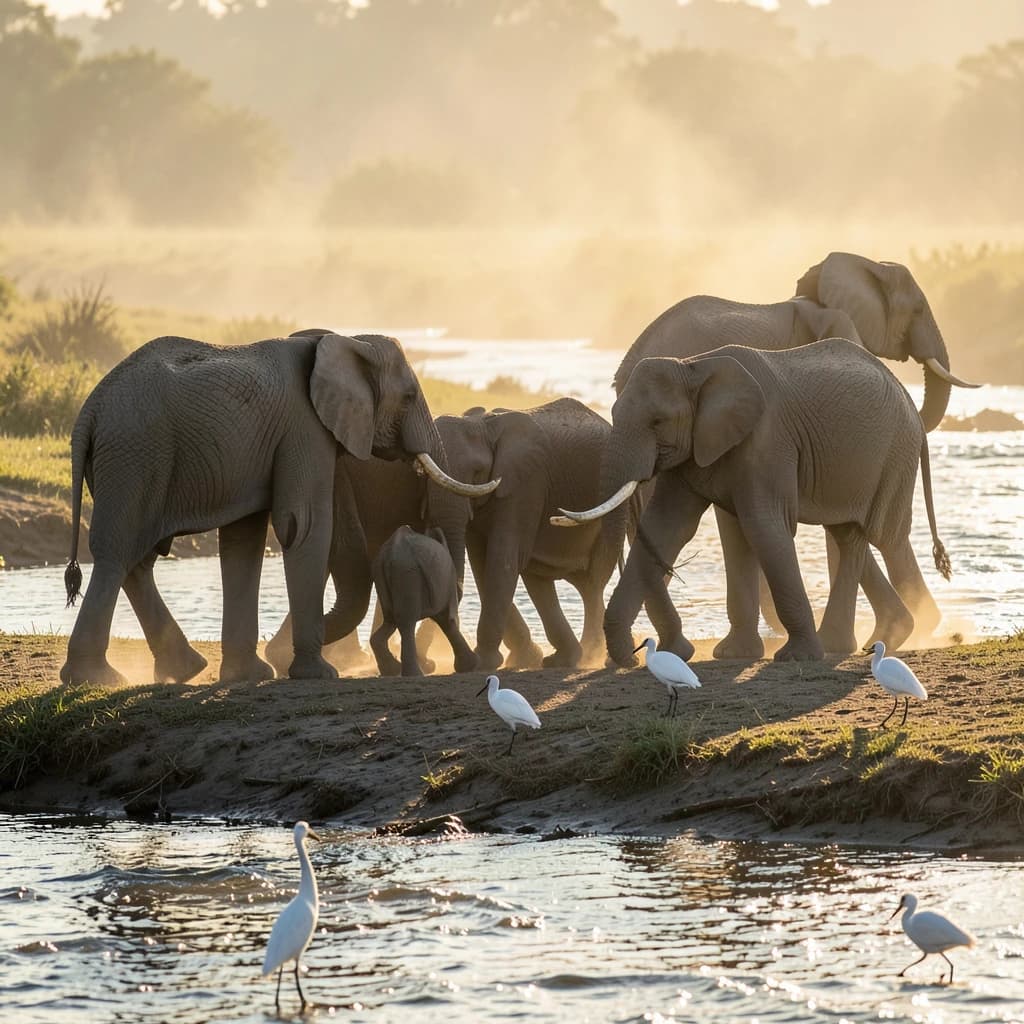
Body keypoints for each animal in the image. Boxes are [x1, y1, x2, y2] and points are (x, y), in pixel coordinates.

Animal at [370, 525, 477, 677]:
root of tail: (392, 552)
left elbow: (442, 617)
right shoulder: (447, 580)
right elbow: (447, 618)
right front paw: (470, 666)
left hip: (382, 576)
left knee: (391, 621)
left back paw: (392, 670)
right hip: (408, 573)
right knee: (406, 622)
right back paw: (414, 674)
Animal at [556, 339, 951, 664]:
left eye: (657, 421)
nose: (633, 658)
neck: (694, 367)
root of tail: (910, 404)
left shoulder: (767, 439)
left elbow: (763, 525)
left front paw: (795, 658)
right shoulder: (699, 448)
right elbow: (675, 527)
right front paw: (734, 655)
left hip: (894, 456)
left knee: (884, 537)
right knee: (848, 535)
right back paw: (853, 643)